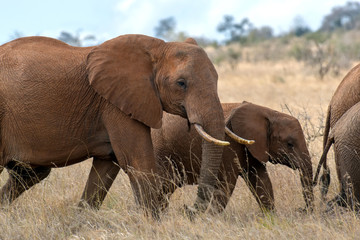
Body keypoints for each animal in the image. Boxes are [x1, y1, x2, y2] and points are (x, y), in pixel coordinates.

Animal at [0, 34, 231, 218]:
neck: (157, 48)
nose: (188, 209)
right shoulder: (115, 104)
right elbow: (138, 163)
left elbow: (105, 171)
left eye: (217, 79)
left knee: (29, 175)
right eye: (181, 83)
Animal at [150, 101, 314, 212]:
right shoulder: (229, 144)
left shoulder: (252, 149)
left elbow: (261, 181)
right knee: (162, 187)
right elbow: (227, 183)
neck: (268, 113)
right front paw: (210, 220)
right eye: (290, 144)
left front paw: (270, 218)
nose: (301, 210)